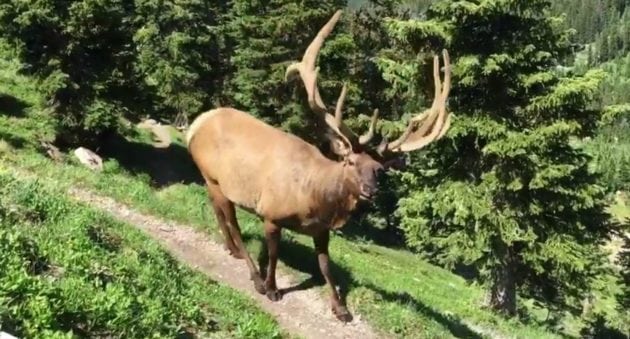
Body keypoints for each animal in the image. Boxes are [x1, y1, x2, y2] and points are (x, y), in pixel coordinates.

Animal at [185, 9, 452, 322]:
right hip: (216, 178)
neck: (314, 200)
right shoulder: (271, 214)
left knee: (218, 212)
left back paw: (232, 250)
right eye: (350, 161)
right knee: (233, 223)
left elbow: (325, 266)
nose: (369, 190)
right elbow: (273, 254)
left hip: (210, 180)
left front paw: (340, 308)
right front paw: (273, 288)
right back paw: (255, 277)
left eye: (380, 170)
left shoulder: (322, 231)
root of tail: (195, 125)